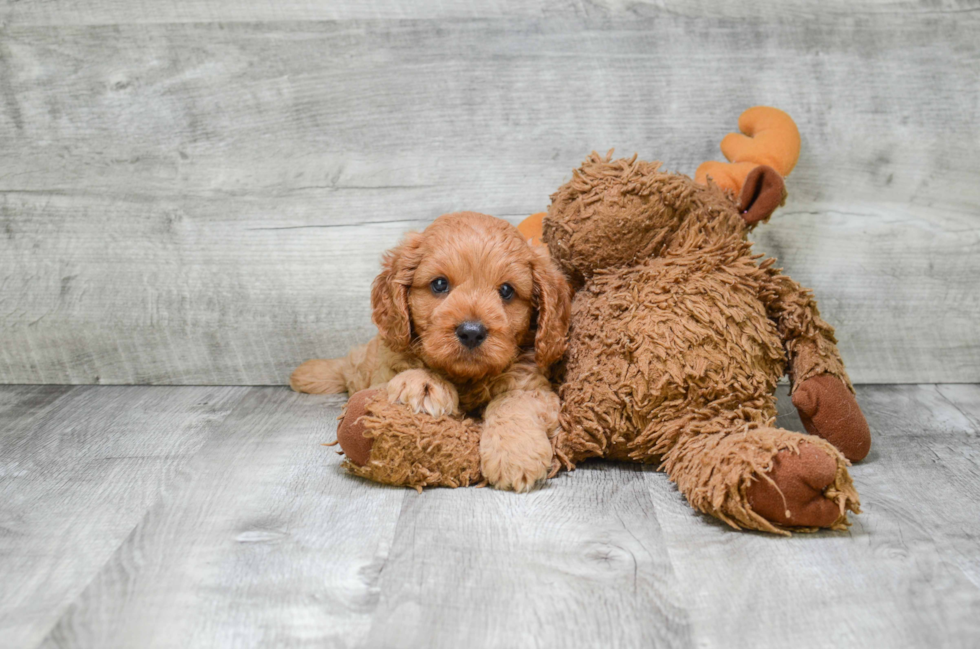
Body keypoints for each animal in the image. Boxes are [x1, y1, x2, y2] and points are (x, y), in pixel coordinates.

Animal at [288, 213, 572, 492]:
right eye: (439, 284)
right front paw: (423, 383)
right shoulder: (385, 370)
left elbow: (513, 402)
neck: (467, 377)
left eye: (506, 290)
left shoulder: (534, 386)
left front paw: (515, 455)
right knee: (349, 366)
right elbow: (407, 366)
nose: (471, 332)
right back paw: (307, 373)